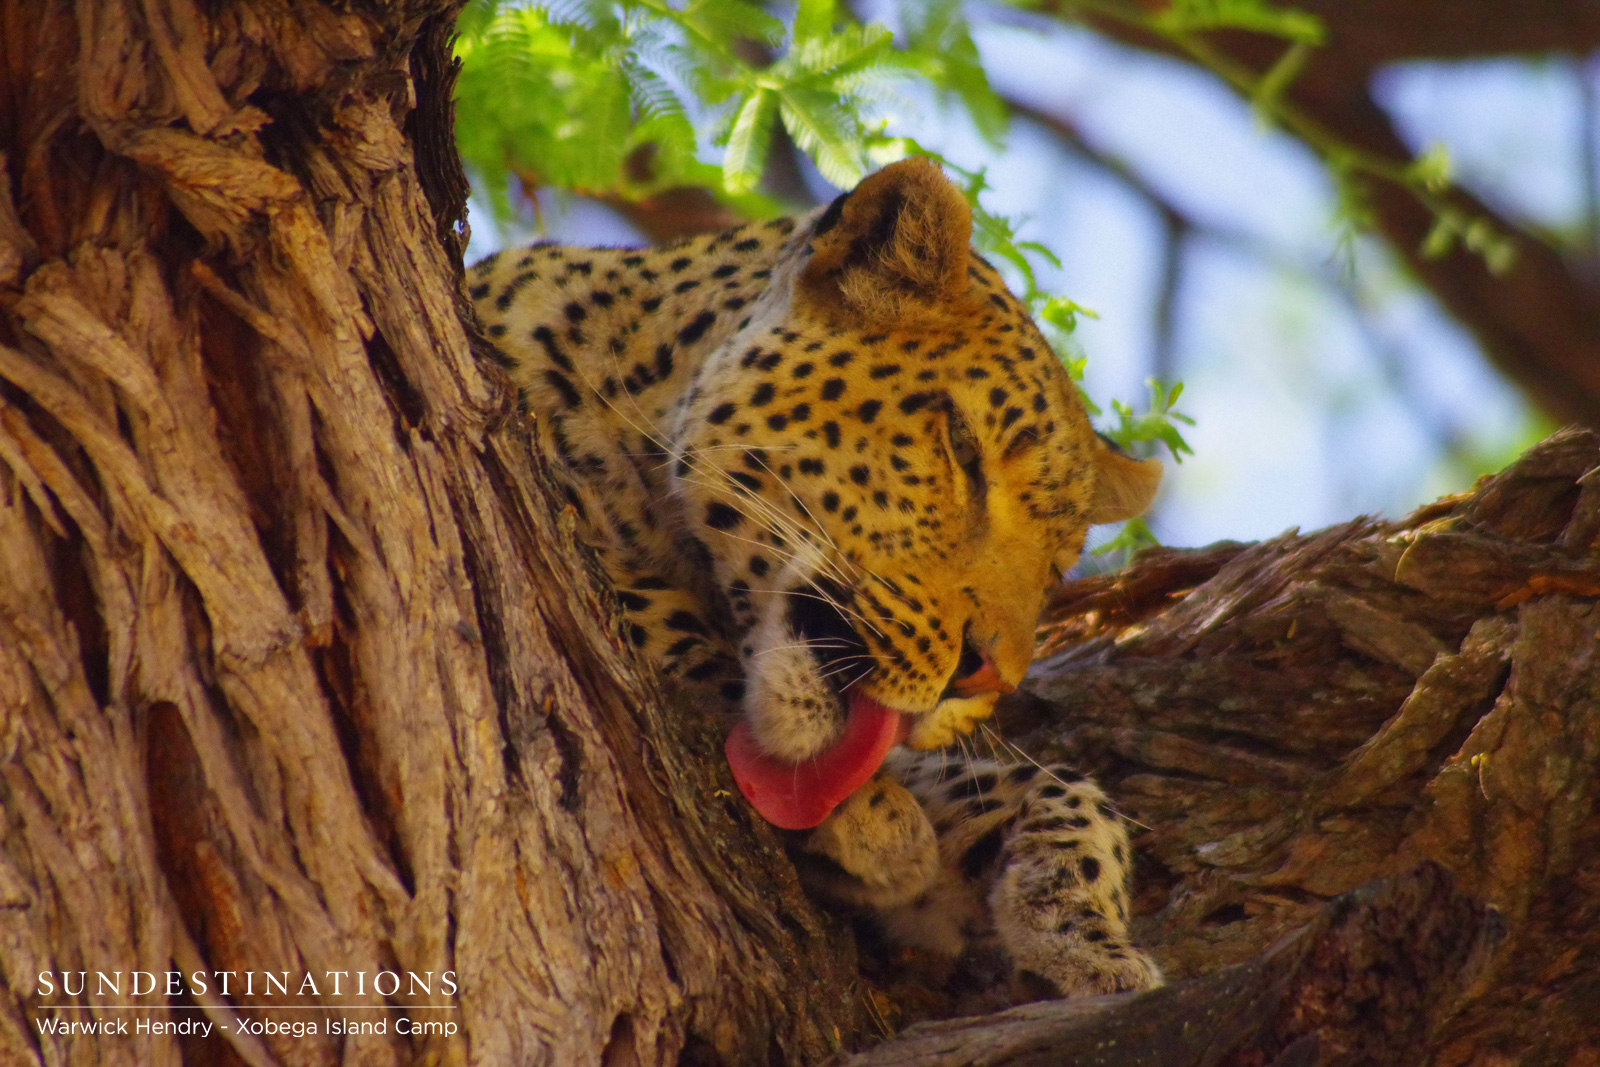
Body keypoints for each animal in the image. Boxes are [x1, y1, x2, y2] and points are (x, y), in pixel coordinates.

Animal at [468, 158, 1165, 998]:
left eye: (1056, 567)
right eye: (963, 452)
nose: (986, 674)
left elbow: (1059, 789)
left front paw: (1085, 930)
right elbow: (636, 597)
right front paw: (876, 820)